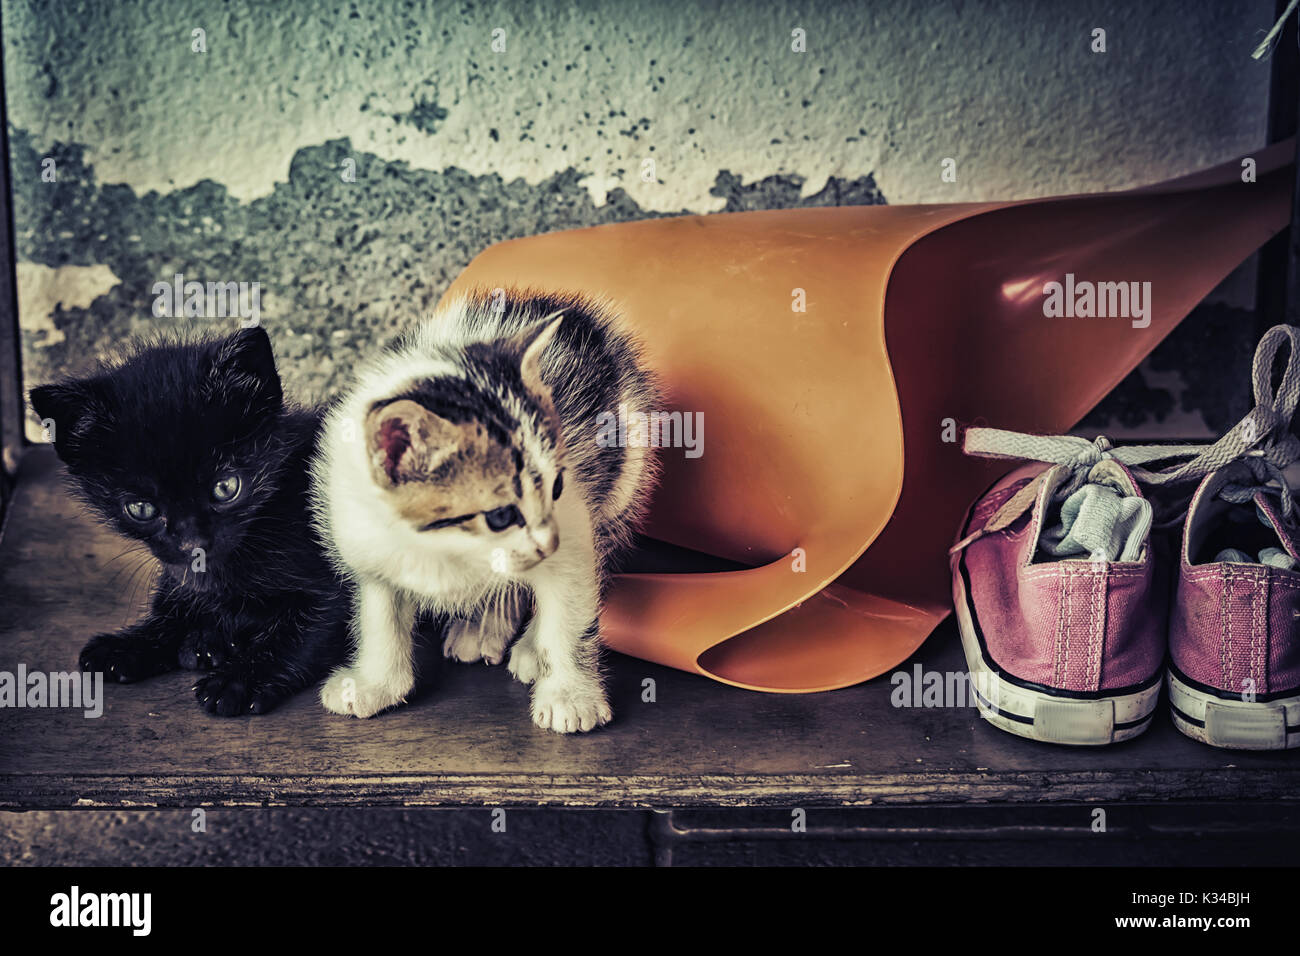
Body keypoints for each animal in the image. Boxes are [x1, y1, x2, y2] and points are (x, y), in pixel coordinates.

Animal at [32, 325, 351, 712]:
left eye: (226, 487)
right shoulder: (177, 571)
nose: (193, 543)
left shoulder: (333, 586)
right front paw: (130, 643)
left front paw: (238, 680)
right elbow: (171, 601)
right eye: (141, 509)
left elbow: (300, 636)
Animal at [312, 290, 660, 733]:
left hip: (626, 475)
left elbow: (569, 612)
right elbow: (379, 618)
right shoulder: (363, 541)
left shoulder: (574, 525)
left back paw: (529, 647)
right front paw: (376, 684)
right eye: (499, 517)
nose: (549, 540)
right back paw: (483, 627)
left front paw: (569, 695)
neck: (445, 548)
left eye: (557, 487)